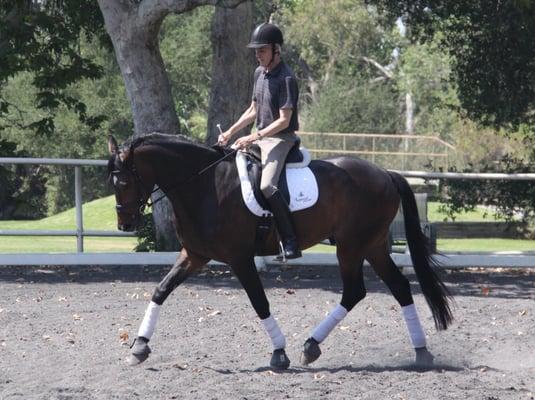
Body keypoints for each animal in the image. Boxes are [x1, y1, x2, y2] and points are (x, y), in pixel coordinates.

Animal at [108, 133, 452, 370]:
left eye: (123, 182)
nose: (125, 224)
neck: (205, 185)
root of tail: (385, 173)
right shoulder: (194, 255)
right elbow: (160, 290)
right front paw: (139, 347)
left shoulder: (240, 258)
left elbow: (259, 302)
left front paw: (279, 353)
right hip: (373, 245)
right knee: (399, 287)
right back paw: (421, 352)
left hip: (352, 246)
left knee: (355, 291)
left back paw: (311, 346)